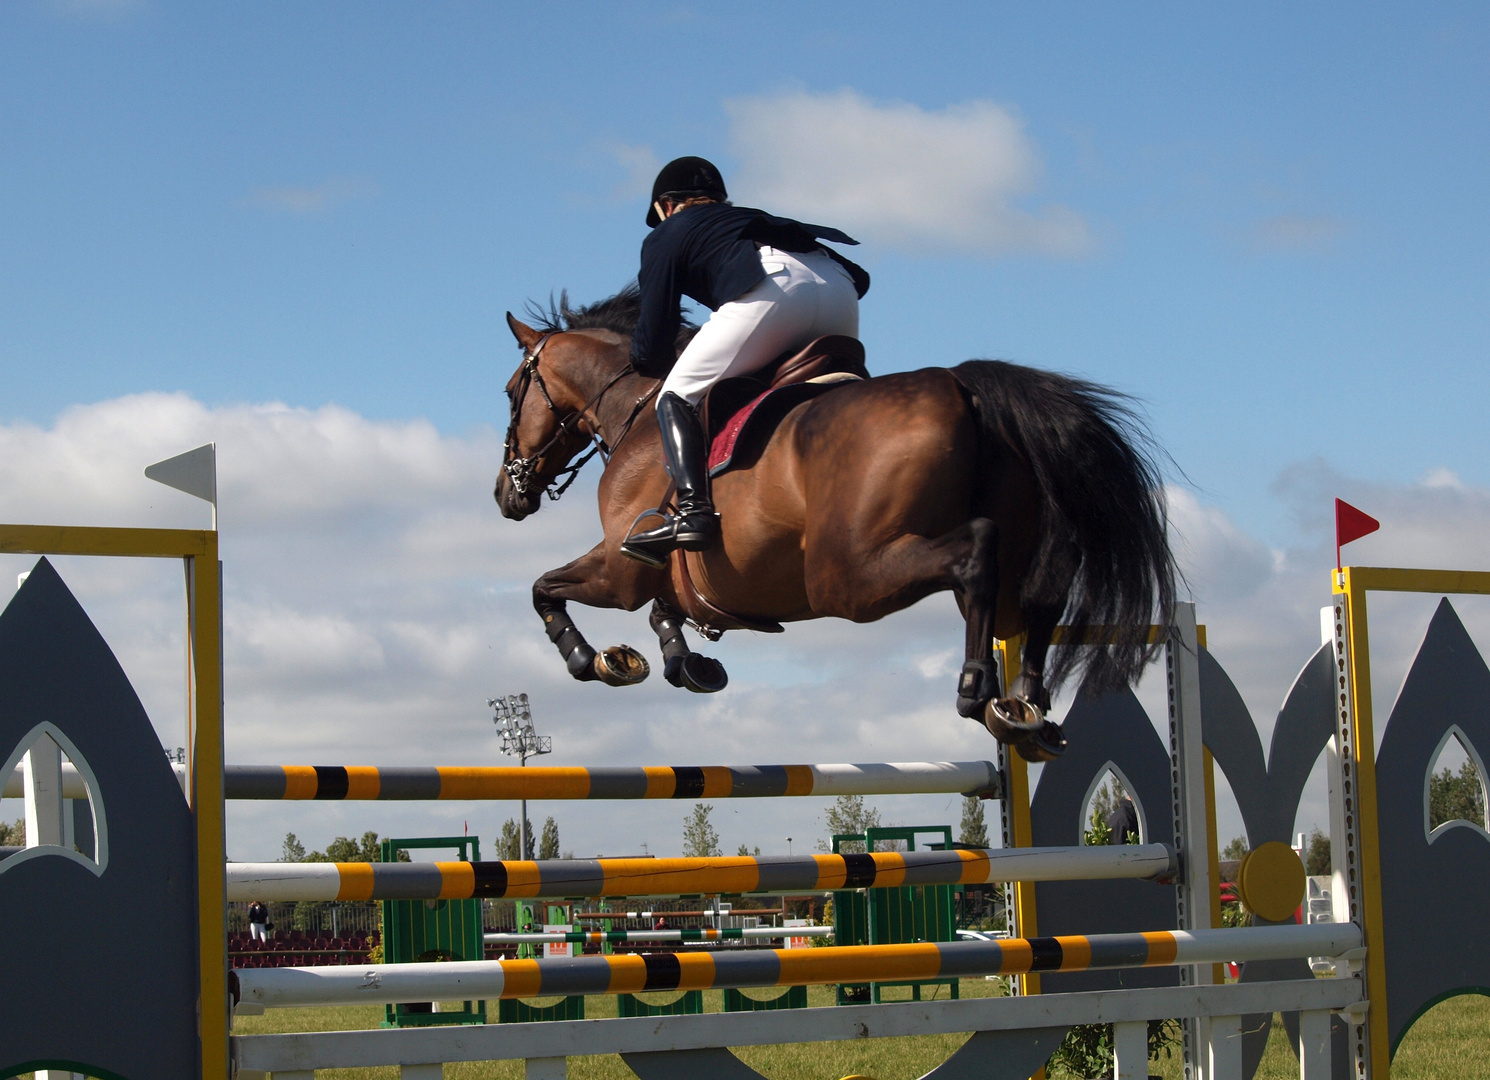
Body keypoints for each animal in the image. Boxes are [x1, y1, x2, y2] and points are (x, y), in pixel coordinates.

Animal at [497, 286, 1174, 759]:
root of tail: (966, 387)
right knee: (1040, 593)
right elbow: (668, 609)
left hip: (847, 576)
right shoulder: (673, 579)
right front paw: (686, 664)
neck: (636, 412)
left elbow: (543, 588)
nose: (507, 495)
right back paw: (1027, 705)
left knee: (977, 554)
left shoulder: (621, 567)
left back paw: (977, 687)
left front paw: (592, 660)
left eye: (509, 392)